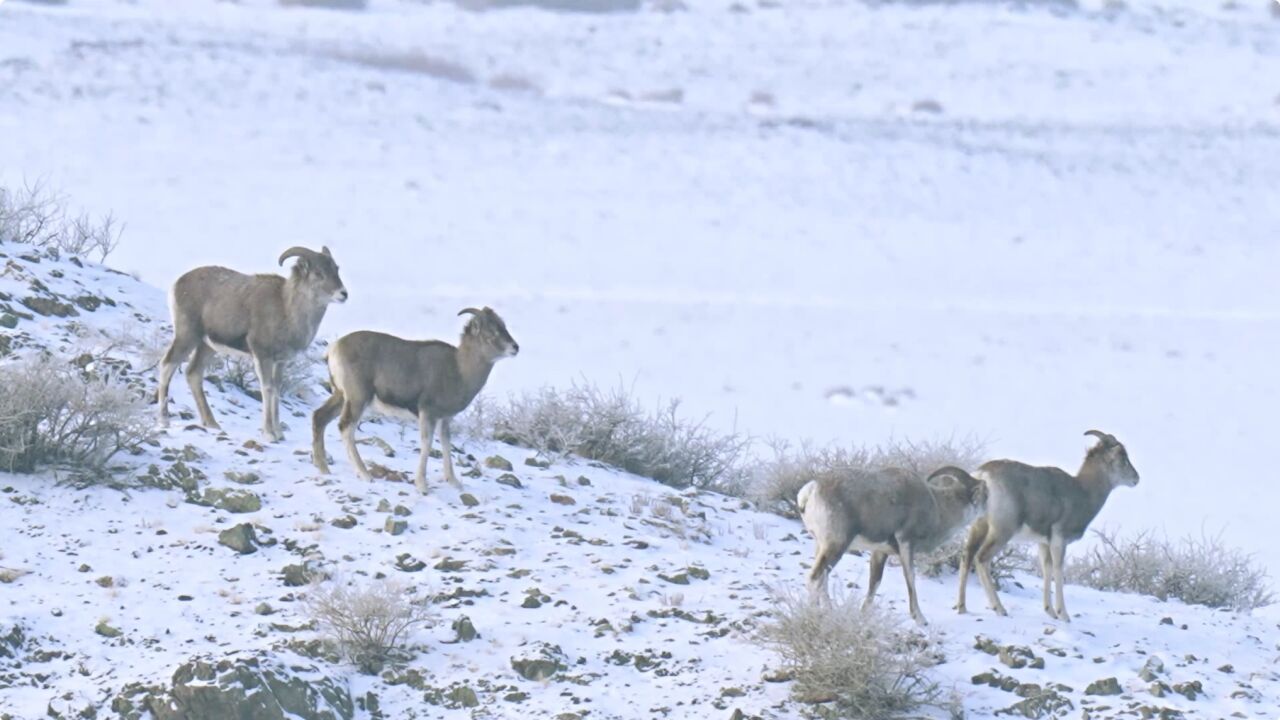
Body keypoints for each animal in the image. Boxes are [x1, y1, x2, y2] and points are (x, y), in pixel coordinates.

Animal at [312, 302, 517, 491]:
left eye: (503, 326)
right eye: (492, 332)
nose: (515, 348)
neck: (459, 370)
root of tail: (334, 349)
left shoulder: (444, 419)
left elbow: (446, 444)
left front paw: (453, 482)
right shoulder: (428, 413)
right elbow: (427, 444)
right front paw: (422, 485)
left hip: (341, 397)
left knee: (319, 418)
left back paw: (324, 470)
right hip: (357, 399)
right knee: (346, 427)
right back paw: (365, 475)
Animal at [793, 466, 983, 622]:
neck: (937, 507)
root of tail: (810, 491)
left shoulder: (880, 552)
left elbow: (875, 582)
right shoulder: (906, 544)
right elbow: (910, 579)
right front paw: (920, 619)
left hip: (822, 547)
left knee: (823, 579)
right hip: (835, 548)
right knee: (815, 578)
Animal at [952, 427, 1141, 620]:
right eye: (1122, 457)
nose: (1136, 479)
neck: (1082, 491)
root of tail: (983, 476)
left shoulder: (1043, 543)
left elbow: (1047, 569)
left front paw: (1050, 612)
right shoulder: (1059, 540)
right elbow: (1058, 570)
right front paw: (1063, 615)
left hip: (979, 527)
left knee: (966, 557)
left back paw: (962, 607)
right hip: (1002, 532)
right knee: (982, 559)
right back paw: (999, 609)